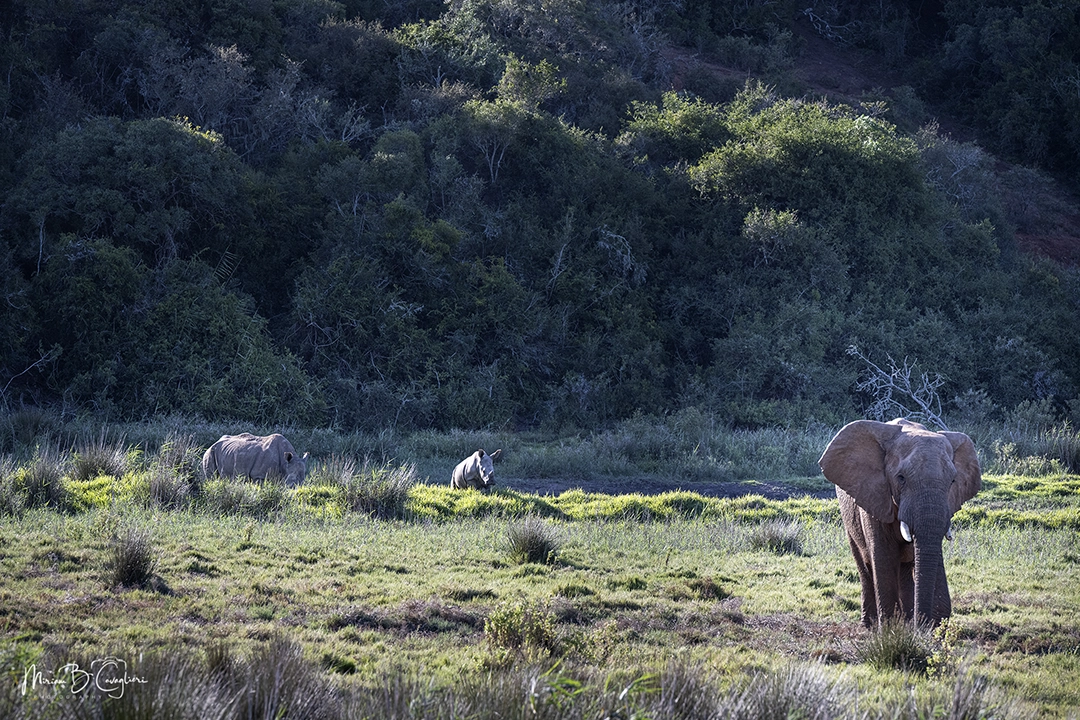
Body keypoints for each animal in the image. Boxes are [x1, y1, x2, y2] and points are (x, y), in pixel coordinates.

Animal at [819, 418, 981, 628]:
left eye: (953, 481)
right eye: (901, 478)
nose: (922, 627)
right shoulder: (874, 497)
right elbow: (884, 558)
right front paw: (890, 629)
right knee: (864, 566)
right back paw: (870, 625)